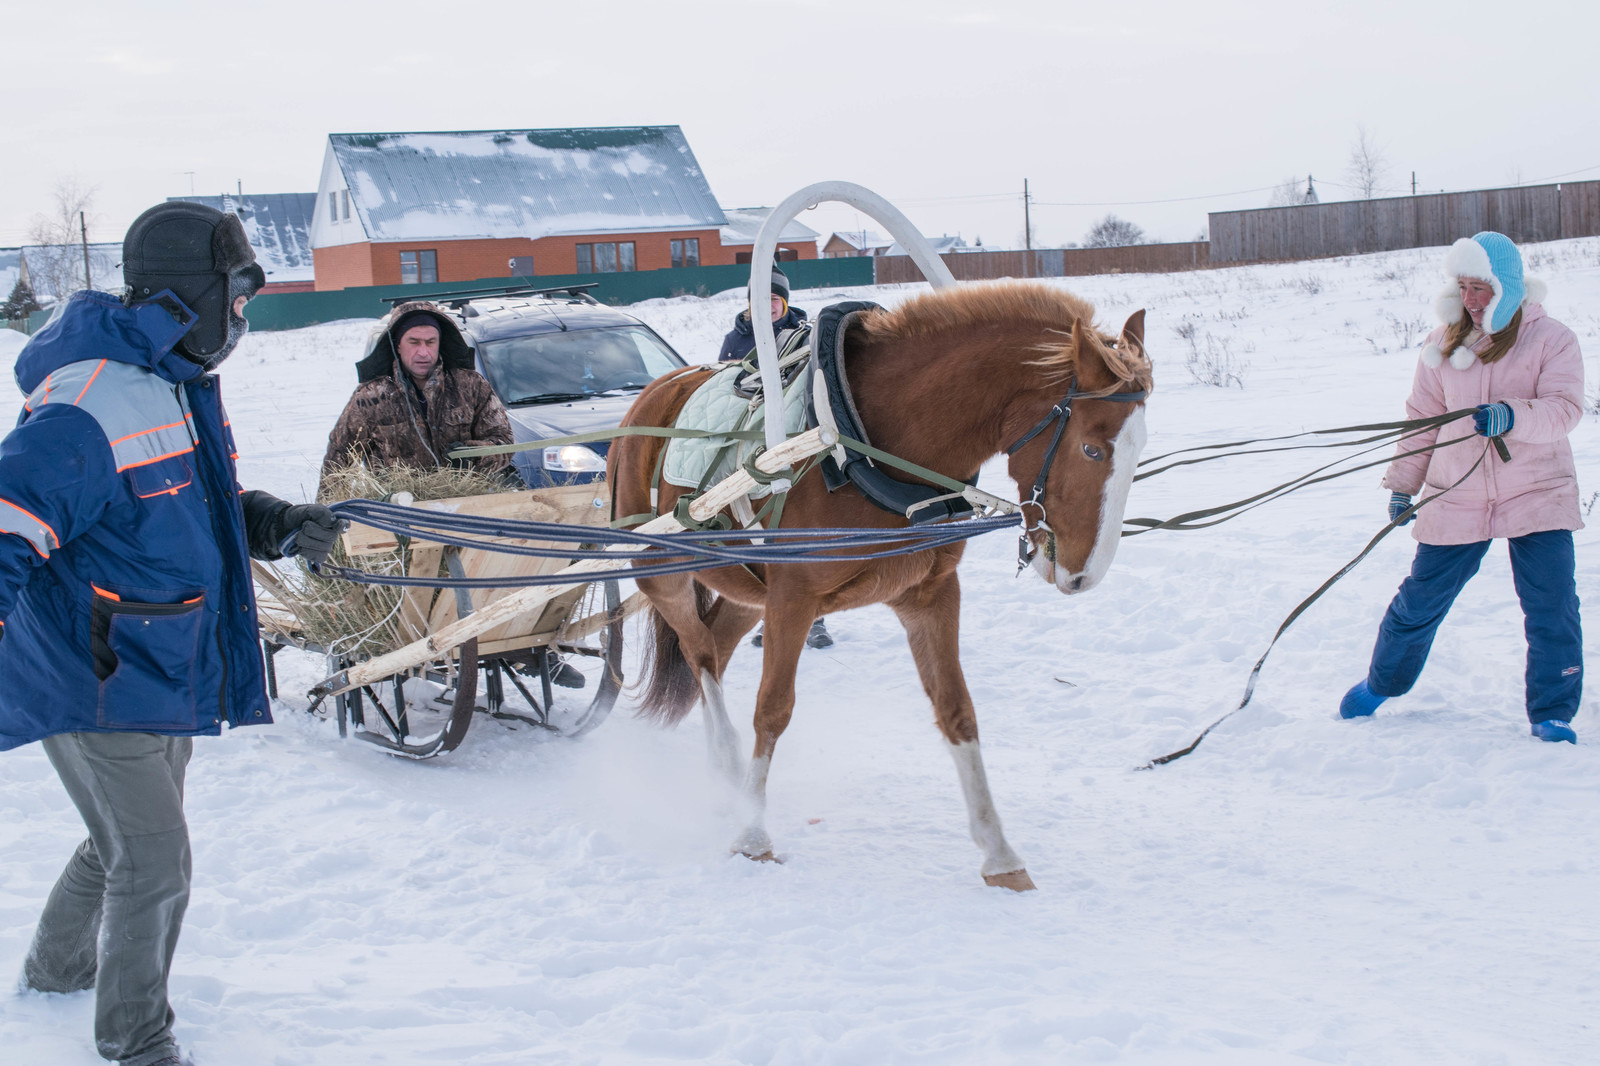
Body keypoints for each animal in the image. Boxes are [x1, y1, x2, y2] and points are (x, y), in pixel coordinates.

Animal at [608, 281, 1152, 889]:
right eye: (1092, 448)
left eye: (1139, 449)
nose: (1084, 575)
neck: (859, 442)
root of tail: (651, 394)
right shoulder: (793, 598)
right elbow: (773, 709)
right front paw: (754, 840)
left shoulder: (930, 595)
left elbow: (957, 710)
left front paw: (1000, 854)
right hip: (661, 571)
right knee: (699, 651)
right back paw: (727, 762)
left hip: (747, 593)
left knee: (715, 650)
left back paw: (725, 780)